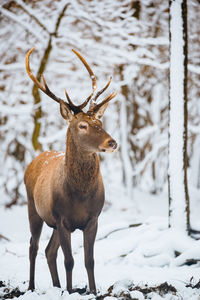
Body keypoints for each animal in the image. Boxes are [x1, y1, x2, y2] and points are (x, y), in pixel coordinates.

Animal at [23, 47, 117, 296]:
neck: (80, 196)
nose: (112, 142)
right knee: (34, 246)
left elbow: (89, 260)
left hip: (53, 223)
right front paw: (71, 290)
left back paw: (56, 287)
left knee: (49, 251)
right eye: (82, 125)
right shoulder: (62, 218)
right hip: (33, 208)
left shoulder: (93, 218)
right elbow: (69, 261)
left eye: (99, 122)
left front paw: (92, 291)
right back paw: (32, 286)